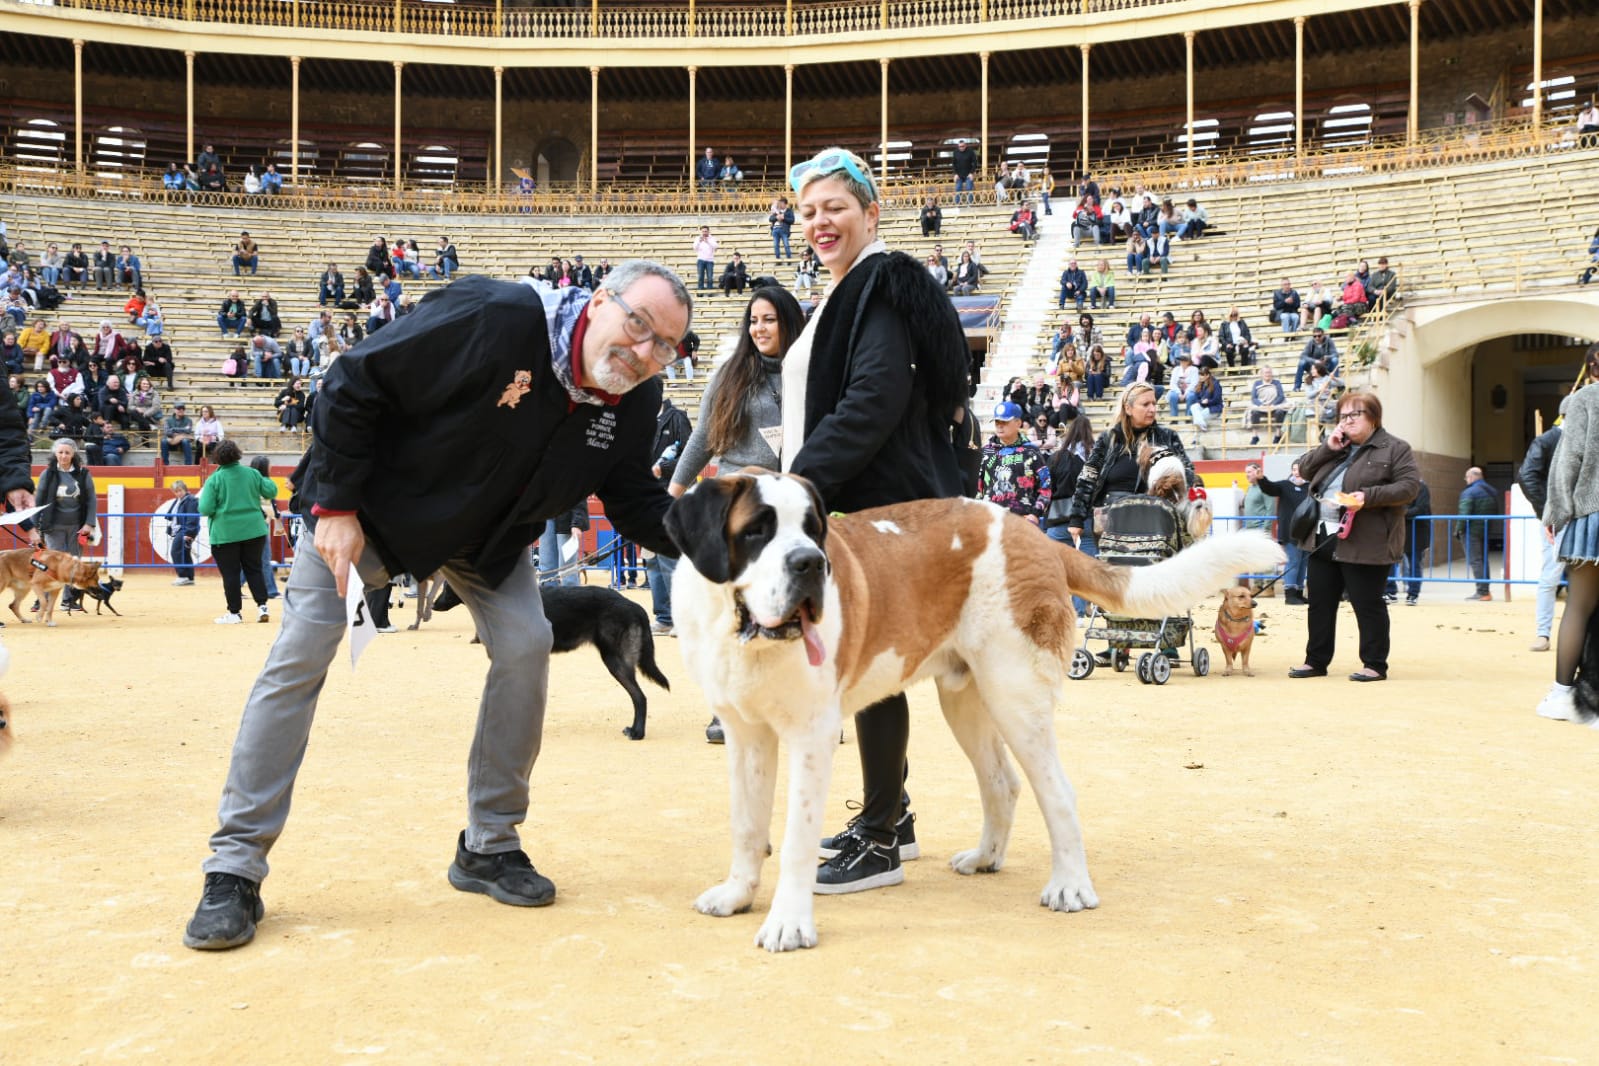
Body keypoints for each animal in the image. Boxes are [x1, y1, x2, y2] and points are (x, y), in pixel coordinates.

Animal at [431, 584, 668, 741]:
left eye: (446, 588)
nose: (433, 605)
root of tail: (635, 606)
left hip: (615, 662)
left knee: (640, 697)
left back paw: (637, 733)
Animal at [665, 469, 1285, 952]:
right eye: (757, 530)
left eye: (813, 530)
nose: (811, 564)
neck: (742, 631)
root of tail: (1036, 535)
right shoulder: (746, 735)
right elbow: (747, 824)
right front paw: (737, 894)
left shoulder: (812, 737)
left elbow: (794, 839)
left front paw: (788, 925)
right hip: (966, 698)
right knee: (1001, 783)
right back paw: (986, 858)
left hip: (1016, 695)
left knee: (1057, 791)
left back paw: (1071, 887)